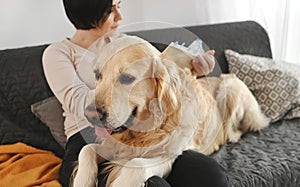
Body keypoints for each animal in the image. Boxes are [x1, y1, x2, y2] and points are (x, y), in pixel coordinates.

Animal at [71, 35, 270, 186]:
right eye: (97, 75)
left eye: (127, 78)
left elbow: (138, 164)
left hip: (231, 87)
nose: (90, 115)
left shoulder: (167, 156)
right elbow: (86, 150)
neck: (144, 132)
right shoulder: (113, 146)